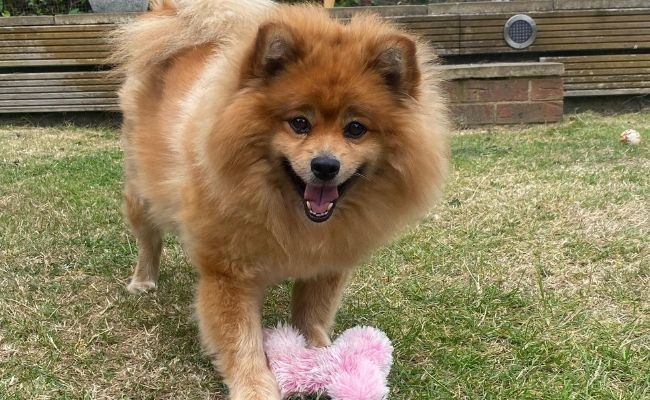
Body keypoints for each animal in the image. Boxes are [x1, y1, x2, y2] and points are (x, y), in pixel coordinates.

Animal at [112, 1, 446, 398]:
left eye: (355, 129)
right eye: (299, 123)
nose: (325, 165)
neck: (287, 211)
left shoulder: (327, 265)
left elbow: (312, 317)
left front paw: (324, 357)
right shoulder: (228, 273)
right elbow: (241, 340)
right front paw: (255, 386)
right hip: (141, 193)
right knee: (149, 239)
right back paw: (143, 280)